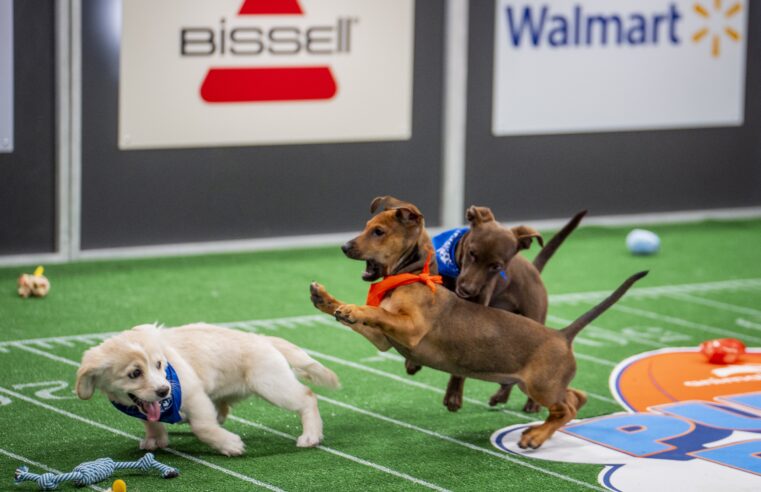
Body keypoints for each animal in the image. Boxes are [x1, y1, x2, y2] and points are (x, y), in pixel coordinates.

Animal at [76, 322, 338, 458]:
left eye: (159, 364)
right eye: (134, 373)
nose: (164, 391)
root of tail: (264, 339)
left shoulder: (194, 395)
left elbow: (202, 428)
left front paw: (230, 445)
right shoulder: (144, 406)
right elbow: (152, 422)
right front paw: (155, 439)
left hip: (272, 385)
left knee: (308, 397)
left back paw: (311, 436)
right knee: (222, 410)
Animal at [312, 196, 644, 450]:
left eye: (379, 232)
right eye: (367, 227)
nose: (344, 247)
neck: (412, 276)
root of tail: (563, 335)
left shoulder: (410, 330)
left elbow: (377, 312)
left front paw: (352, 308)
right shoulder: (384, 340)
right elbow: (365, 315)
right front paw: (329, 300)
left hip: (541, 387)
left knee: (568, 407)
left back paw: (535, 437)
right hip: (543, 383)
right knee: (577, 397)